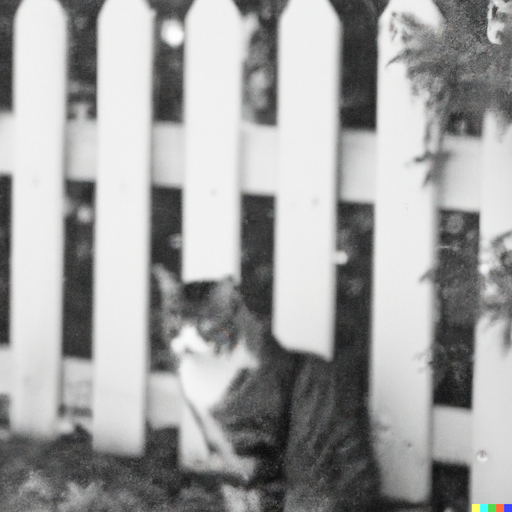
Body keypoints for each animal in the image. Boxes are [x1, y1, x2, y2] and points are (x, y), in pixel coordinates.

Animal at [152, 264, 380, 512]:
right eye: (174, 321)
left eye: (205, 324)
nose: (185, 346)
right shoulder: (222, 448)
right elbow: (236, 492)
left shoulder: (265, 447)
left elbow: (266, 494)